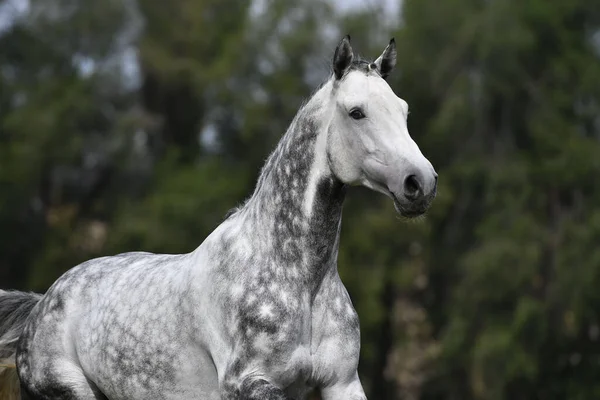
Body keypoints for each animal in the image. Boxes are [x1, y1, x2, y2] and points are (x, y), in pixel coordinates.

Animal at [0, 36, 436, 398]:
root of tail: (42, 302)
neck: (298, 281)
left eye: (403, 110)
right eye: (356, 112)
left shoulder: (341, 382)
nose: (421, 182)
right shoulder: (247, 383)